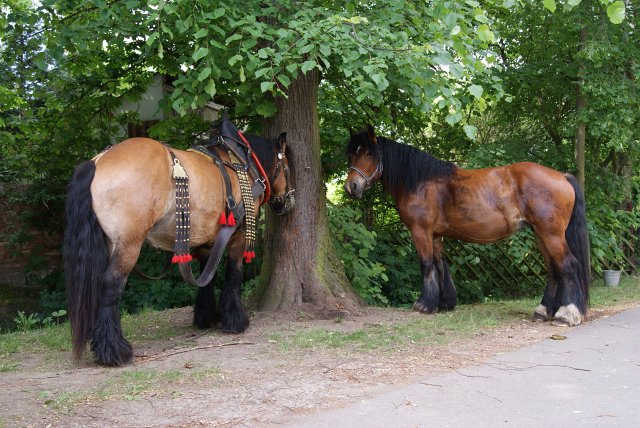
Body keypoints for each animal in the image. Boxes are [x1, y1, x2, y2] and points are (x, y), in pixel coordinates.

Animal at [64, 119, 296, 364]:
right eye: (288, 168)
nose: (289, 202)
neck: (242, 162)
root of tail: (98, 161)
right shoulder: (238, 236)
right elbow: (233, 275)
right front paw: (235, 320)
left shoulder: (205, 238)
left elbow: (207, 276)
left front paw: (206, 316)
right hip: (128, 244)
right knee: (111, 285)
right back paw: (114, 350)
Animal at [344, 125, 592, 326]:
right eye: (351, 155)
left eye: (368, 153)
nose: (351, 187)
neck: (420, 182)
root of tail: (562, 176)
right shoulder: (435, 235)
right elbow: (440, 264)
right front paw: (443, 303)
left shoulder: (420, 231)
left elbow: (426, 264)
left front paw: (424, 304)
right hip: (540, 234)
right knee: (553, 269)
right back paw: (543, 311)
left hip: (551, 234)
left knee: (568, 265)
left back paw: (566, 314)